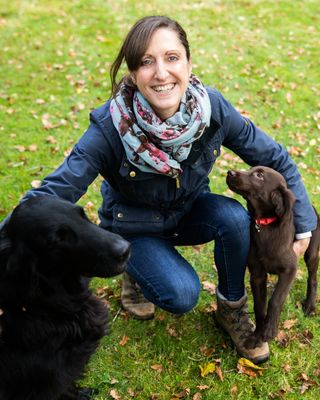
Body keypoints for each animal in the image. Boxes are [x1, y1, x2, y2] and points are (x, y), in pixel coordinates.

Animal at [226, 165, 318, 346]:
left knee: (312, 278)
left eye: (259, 175)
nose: (230, 172)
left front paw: (269, 330)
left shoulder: (290, 269)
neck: (264, 225)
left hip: (311, 253)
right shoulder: (257, 274)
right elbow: (259, 306)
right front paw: (256, 336)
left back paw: (309, 305)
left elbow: (275, 300)